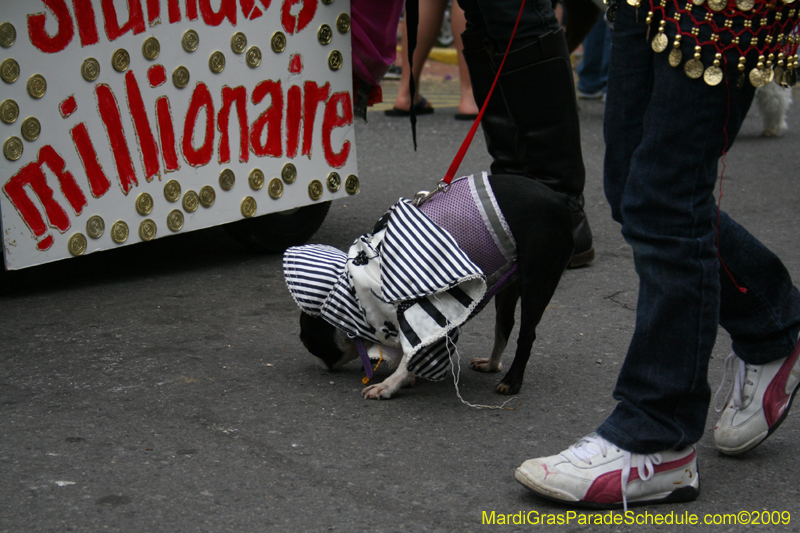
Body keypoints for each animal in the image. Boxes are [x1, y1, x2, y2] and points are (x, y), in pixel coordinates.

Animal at [286, 174, 576, 400]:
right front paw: (407, 378)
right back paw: (492, 364)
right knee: (503, 326)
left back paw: (512, 381)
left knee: (526, 335)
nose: (319, 364)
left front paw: (390, 384)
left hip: (538, 283)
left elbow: (410, 354)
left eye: (307, 339)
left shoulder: (426, 314)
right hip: (509, 286)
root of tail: (562, 199)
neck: (357, 284)